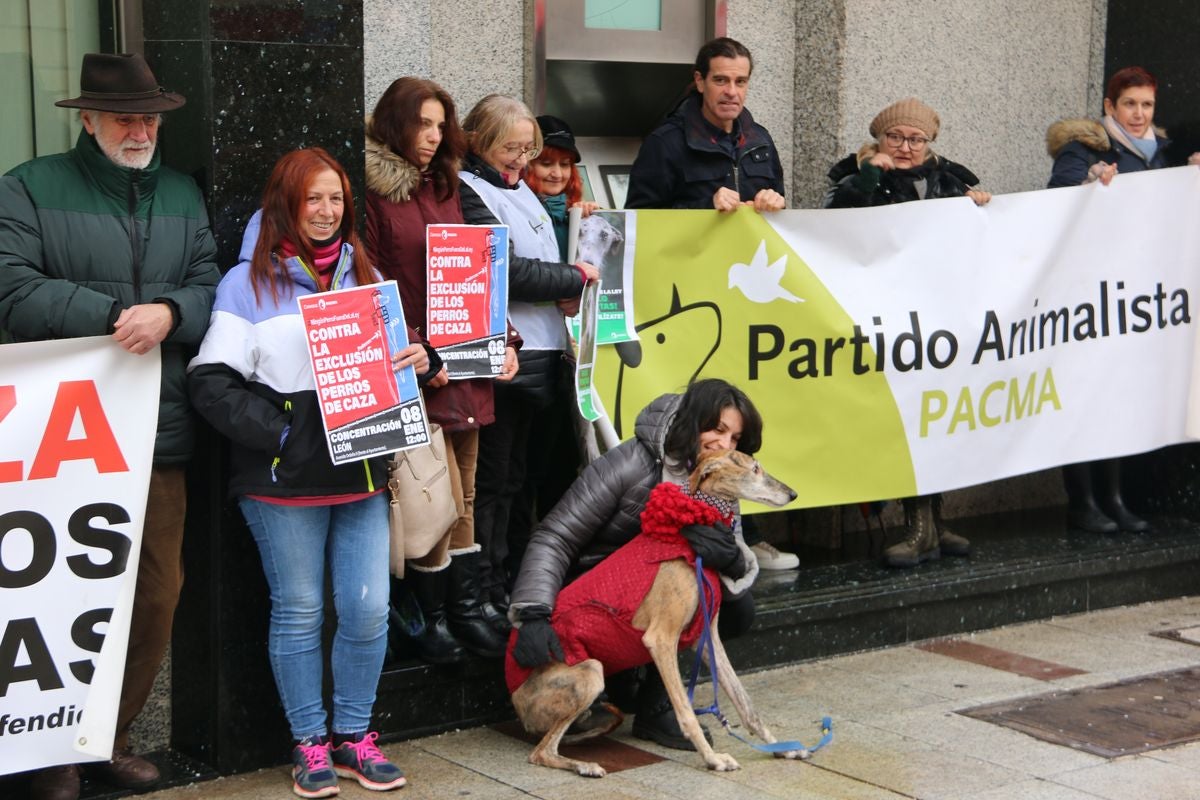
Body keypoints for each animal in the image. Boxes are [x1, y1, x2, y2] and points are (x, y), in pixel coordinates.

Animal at [501, 450, 801, 777]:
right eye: (755, 468)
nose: (793, 494)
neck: (688, 534)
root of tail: (516, 702)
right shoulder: (660, 638)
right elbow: (686, 711)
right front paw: (713, 758)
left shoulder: (707, 637)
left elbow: (745, 702)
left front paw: (780, 747)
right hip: (590, 672)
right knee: (541, 752)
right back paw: (585, 766)